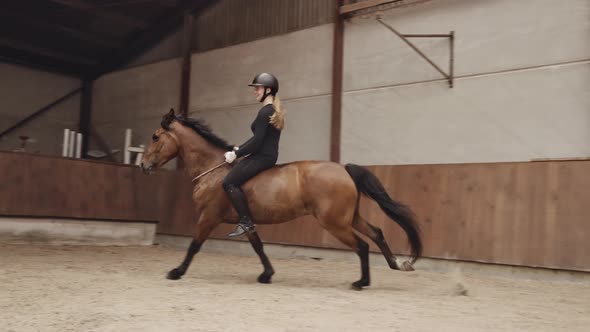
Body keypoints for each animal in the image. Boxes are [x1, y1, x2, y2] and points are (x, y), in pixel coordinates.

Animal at [141, 109, 424, 290]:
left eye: (155, 136)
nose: (144, 166)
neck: (213, 169)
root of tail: (343, 169)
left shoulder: (208, 216)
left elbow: (194, 245)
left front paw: (176, 272)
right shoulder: (246, 220)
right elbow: (258, 246)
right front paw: (267, 274)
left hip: (334, 223)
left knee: (362, 245)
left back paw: (361, 282)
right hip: (348, 217)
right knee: (376, 233)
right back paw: (393, 265)